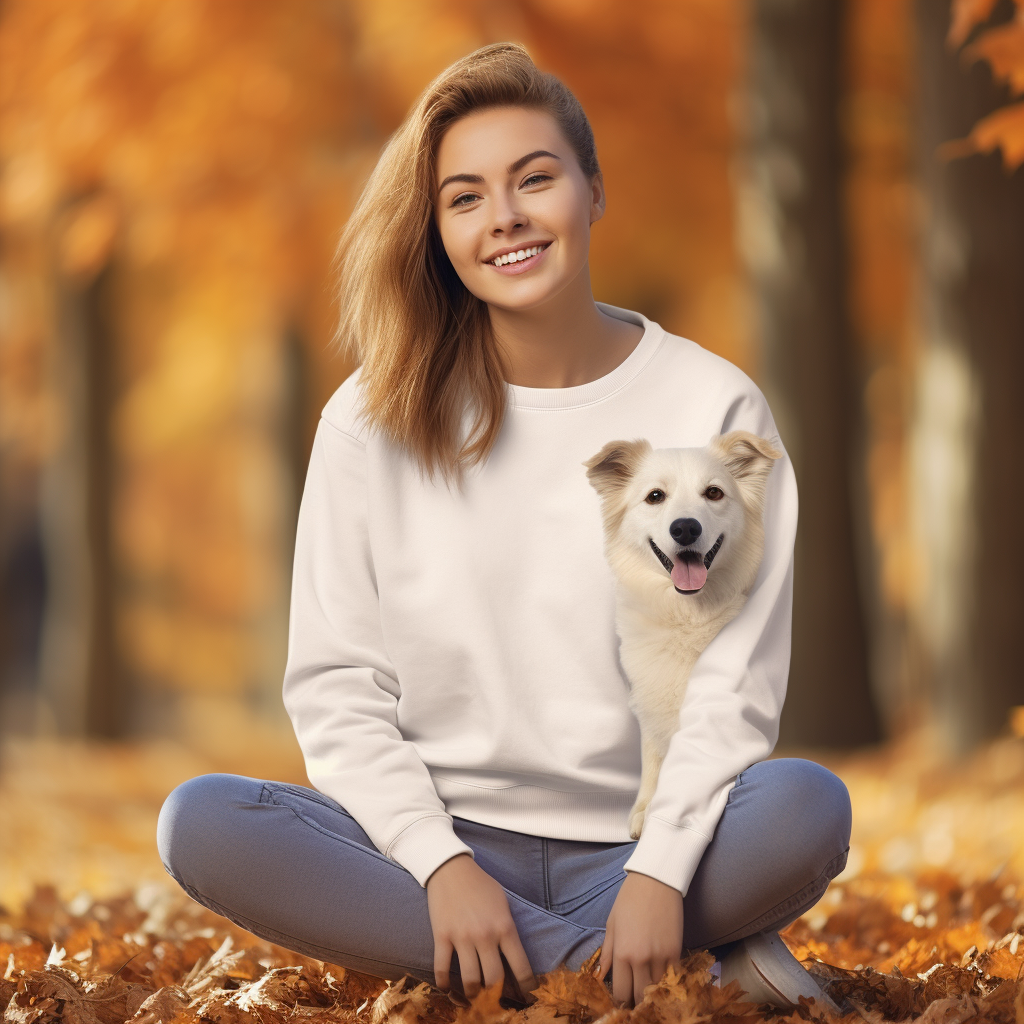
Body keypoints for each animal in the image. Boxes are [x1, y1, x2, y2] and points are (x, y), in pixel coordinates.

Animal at [585, 428, 782, 835]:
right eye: (655, 496)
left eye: (714, 493)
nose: (686, 527)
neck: (687, 615)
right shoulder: (651, 699)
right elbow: (653, 755)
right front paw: (645, 807)